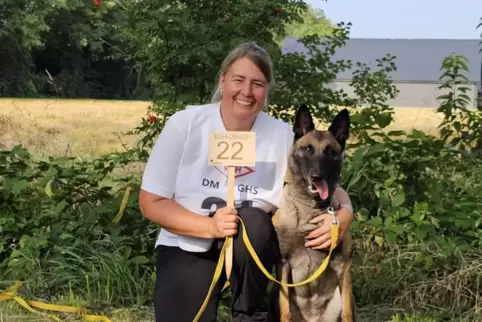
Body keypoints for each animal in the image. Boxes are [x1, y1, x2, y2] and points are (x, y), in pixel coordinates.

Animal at [272, 105, 358, 322]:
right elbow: (285, 311)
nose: (317, 177)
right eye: (307, 150)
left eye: (330, 152)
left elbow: (347, 313)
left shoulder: (343, 266)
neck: (309, 209)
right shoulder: (284, 264)